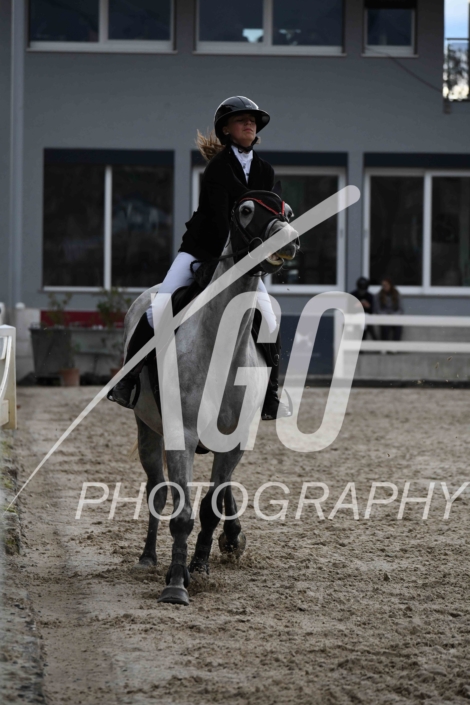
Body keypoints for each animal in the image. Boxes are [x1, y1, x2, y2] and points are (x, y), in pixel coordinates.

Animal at [125, 191, 299, 605]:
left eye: (287, 212)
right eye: (246, 211)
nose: (288, 240)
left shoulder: (234, 440)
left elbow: (210, 507)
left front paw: (200, 566)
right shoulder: (182, 435)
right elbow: (182, 512)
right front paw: (175, 581)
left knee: (217, 492)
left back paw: (230, 540)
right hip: (147, 428)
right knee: (157, 491)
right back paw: (148, 556)